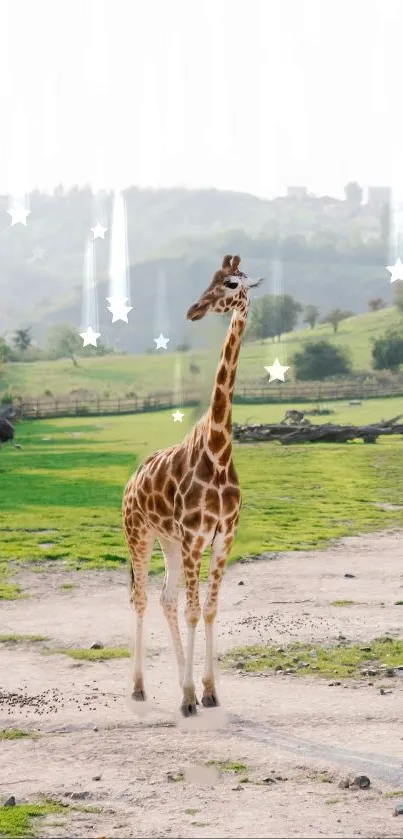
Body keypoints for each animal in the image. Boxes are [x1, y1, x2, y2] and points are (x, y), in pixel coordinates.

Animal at [121, 254, 264, 716]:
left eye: (232, 283)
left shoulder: (222, 538)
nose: (193, 310)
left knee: (166, 597)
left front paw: (208, 691)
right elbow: (193, 612)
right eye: (210, 278)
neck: (218, 451)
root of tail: (130, 480)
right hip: (140, 534)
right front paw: (187, 696)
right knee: (142, 598)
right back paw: (139, 687)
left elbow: (211, 610)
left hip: (169, 541)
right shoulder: (194, 538)